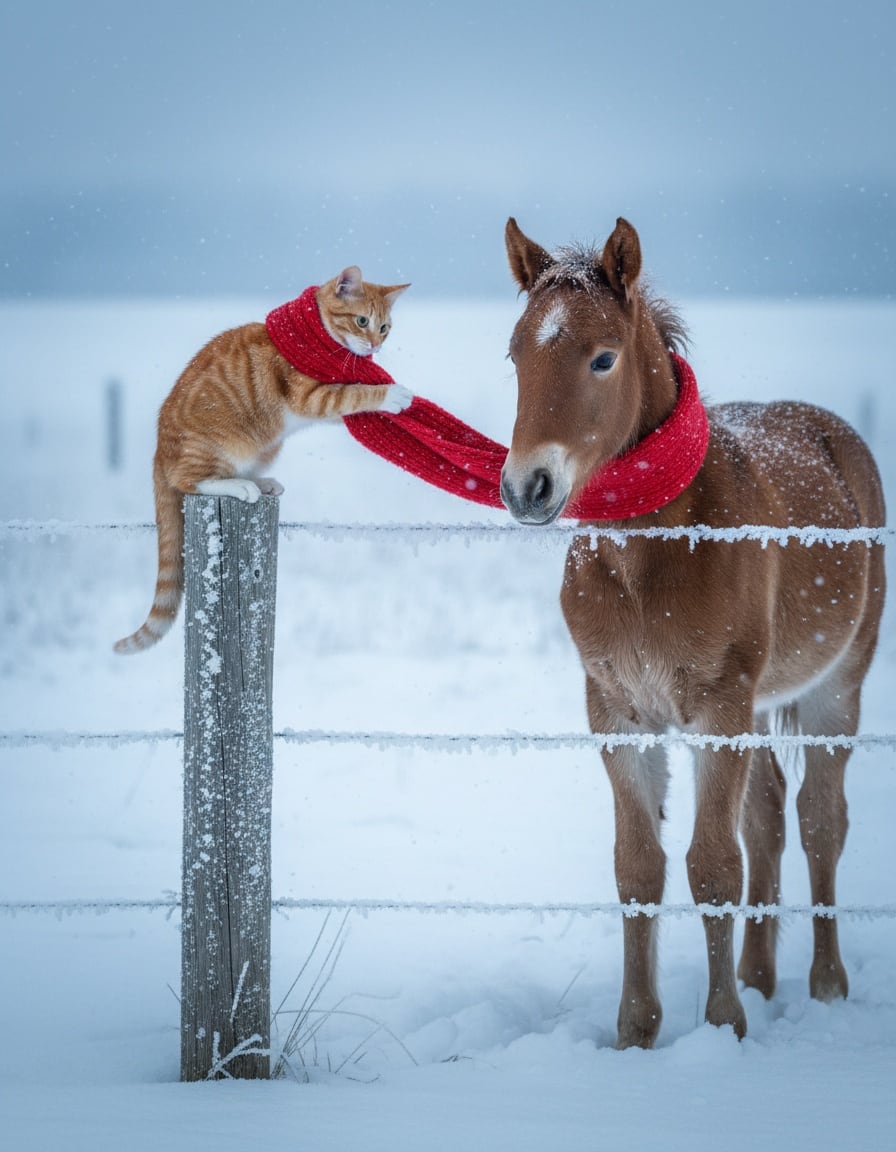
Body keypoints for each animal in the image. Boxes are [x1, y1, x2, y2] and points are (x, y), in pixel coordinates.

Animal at [500, 216, 886, 1048]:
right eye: (515, 355)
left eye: (602, 357)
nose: (525, 488)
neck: (648, 559)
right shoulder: (618, 713)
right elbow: (639, 868)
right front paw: (637, 1033)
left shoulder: (718, 707)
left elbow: (712, 864)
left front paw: (723, 1027)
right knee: (768, 817)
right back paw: (760, 975)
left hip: (834, 688)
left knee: (819, 822)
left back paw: (825, 985)